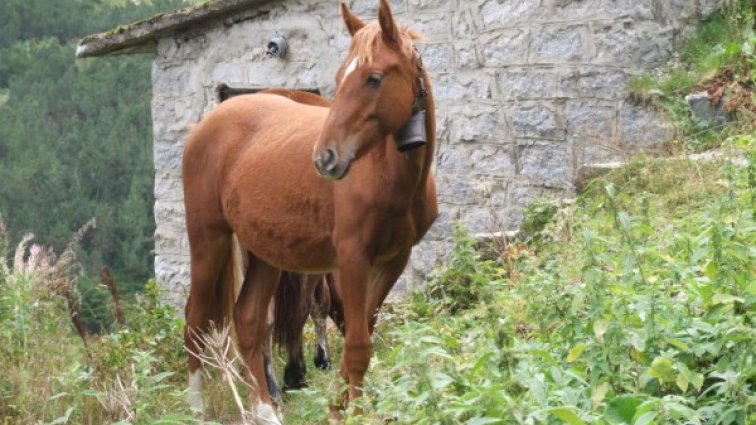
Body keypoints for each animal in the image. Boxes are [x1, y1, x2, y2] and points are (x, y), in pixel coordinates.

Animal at [181, 0, 438, 420]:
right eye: (340, 75)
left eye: (374, 78)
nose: (325, 158)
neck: (385, 174)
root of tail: (205, 126)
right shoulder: (352, 258)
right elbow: (358, 345)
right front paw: (352, 413)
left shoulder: (393, 259)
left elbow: (360, 333)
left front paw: (336, 406)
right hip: (209, 242)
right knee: (195, 324)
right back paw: (198, 412)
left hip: (266, 254)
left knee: (248, 320)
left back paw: (265, 411)